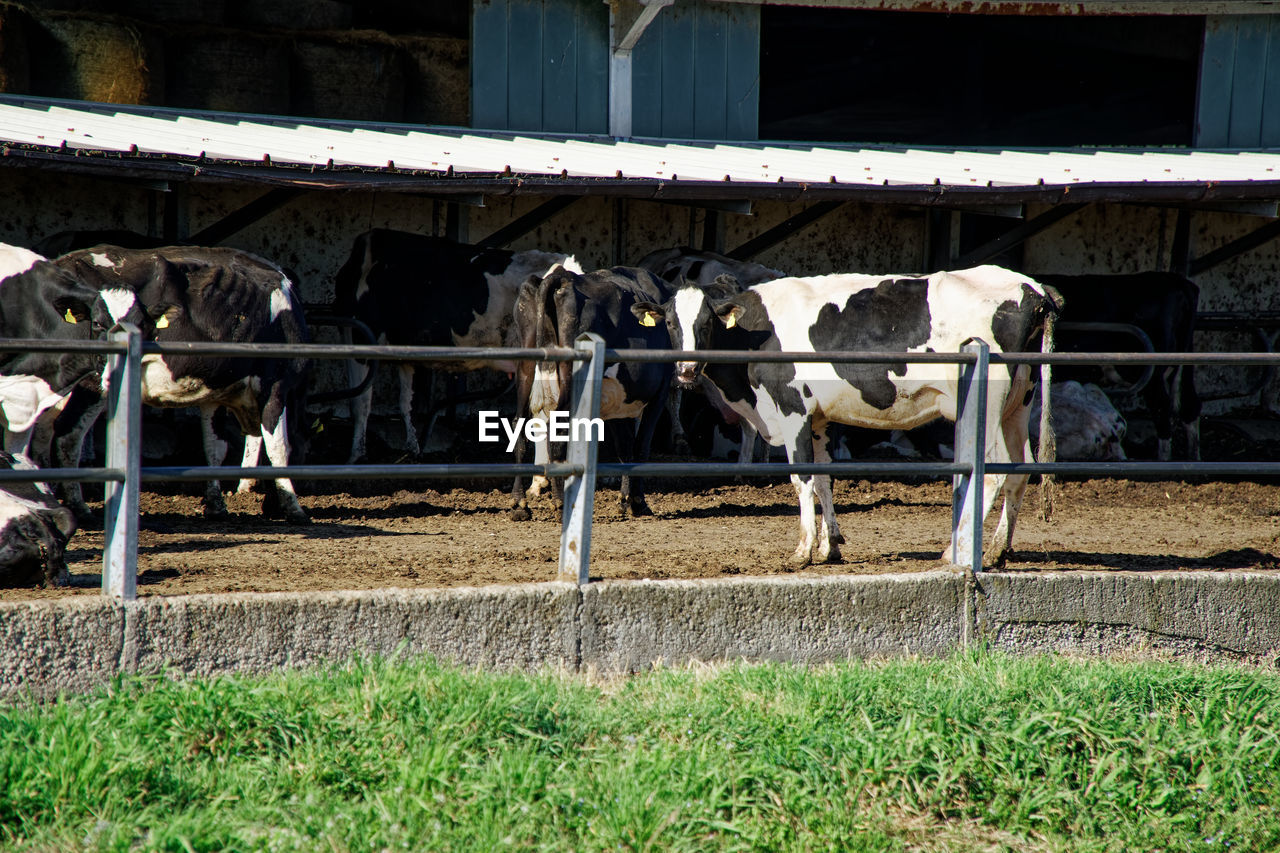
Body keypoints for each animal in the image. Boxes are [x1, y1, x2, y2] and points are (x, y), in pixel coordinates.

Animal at [51, 242, 312, 522]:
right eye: (98, 323)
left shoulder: (215, 392)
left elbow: (215, 448)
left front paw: (216, 505)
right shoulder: (277, 384)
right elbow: (280, 447)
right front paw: (293, 507)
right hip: (91, 381)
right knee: (68, 433)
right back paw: (78, 506)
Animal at [332, 229, 586, 461]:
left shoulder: (358, 335)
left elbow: (360, 402)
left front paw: (355, 456)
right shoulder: (402, 347)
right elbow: (405, 401)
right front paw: (412, 447)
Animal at [629, 262, 1059, 568]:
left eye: (706, 323)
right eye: (670, 323)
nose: (686, 370)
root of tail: (1032, 288)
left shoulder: (793, 408)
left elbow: (801, 478)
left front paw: (803, 551)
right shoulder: (818, 418)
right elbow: (823, 479)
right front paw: (829, 547)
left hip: (988, 401)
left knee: (995, 470)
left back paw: (957, 550)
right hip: (1017, 404)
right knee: (1020, 468)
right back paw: (997, 551)